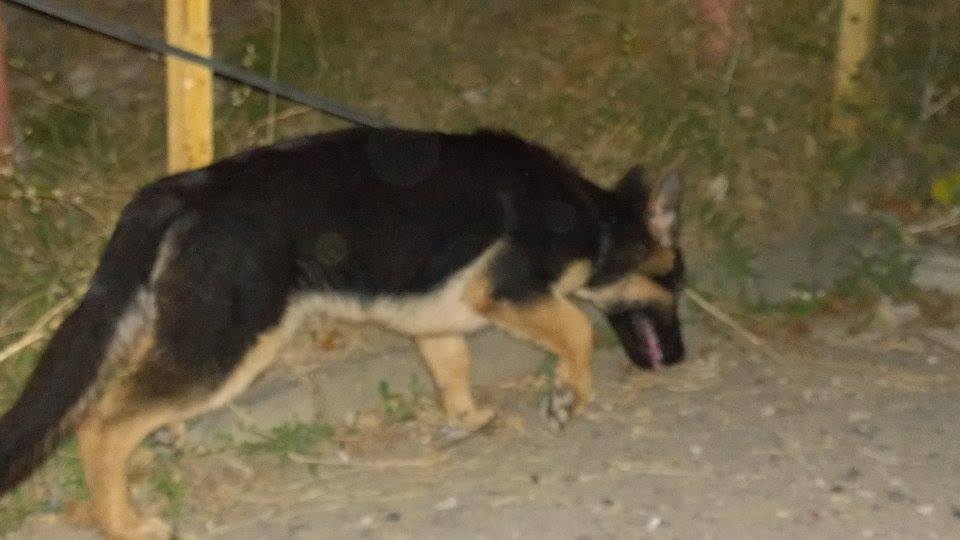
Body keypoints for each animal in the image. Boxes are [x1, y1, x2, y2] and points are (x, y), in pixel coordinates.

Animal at [0, 128, 684, 539]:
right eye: (677, 286)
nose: (679, 358)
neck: (595, 219)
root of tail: (183, 189)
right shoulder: (510, 290)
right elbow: (578, 329)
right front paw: (568, 396)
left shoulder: (436, 321)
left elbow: (453, 368)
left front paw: (466, 419)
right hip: (231, 346)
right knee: (102, 423)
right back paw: (124, 521)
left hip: (194, 331)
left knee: (136, 389)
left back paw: (160, 447)